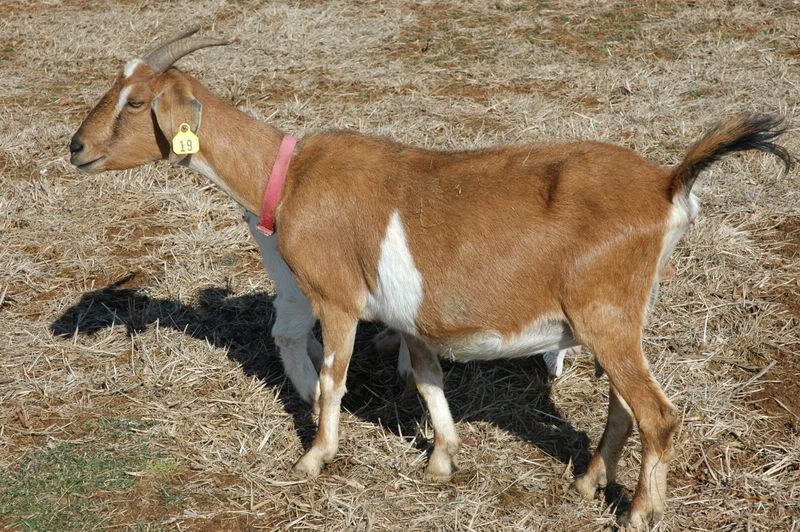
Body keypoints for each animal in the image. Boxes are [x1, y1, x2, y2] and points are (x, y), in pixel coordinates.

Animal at [69, 30, 790, 528]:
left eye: (136, 102)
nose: (75, 148)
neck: (288, 175)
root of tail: (669, 184)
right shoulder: (407, 313)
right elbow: (427, 376)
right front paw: (443, 458)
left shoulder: (338, 298)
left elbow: (330, 379)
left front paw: (314, 458)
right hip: (617, 318)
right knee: (624, 404)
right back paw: (587, 484)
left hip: (604, 314)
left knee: (659, 414)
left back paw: (638, 511)